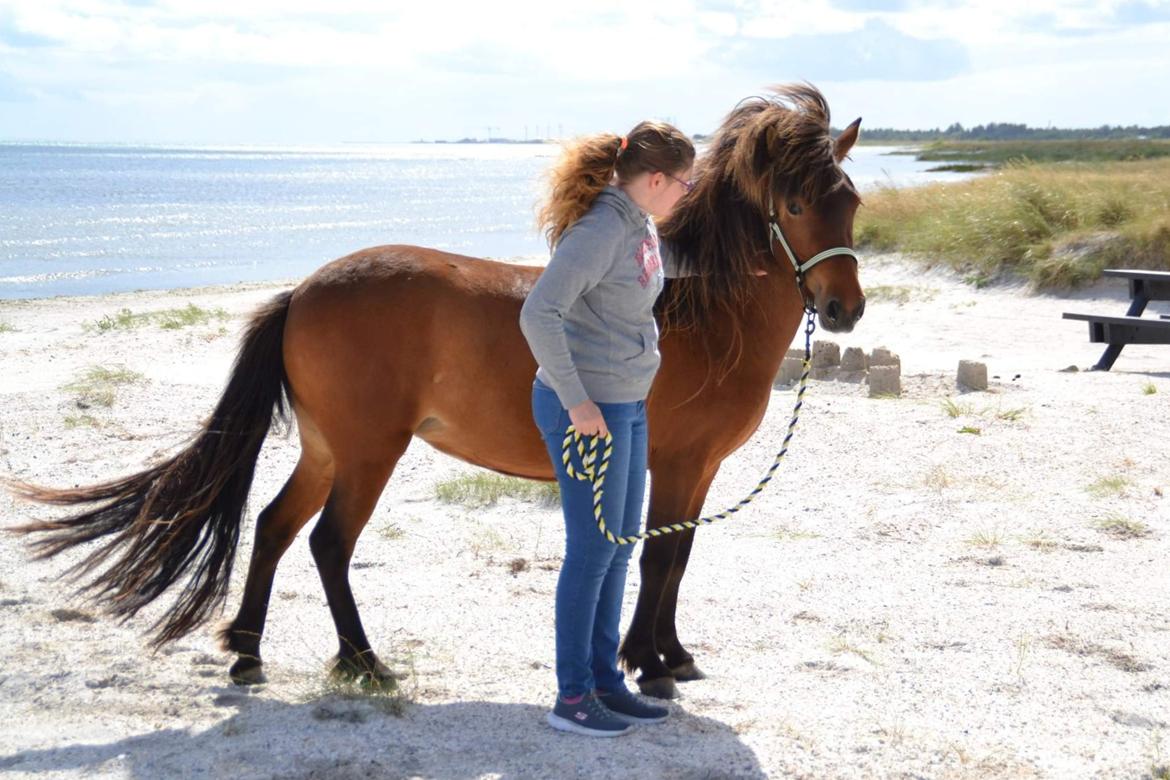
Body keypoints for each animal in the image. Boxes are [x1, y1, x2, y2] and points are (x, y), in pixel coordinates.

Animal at [13, 85, 865, 701]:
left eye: (851, 200)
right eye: (794, 205)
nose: (845, 310)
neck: (699, 313)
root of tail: (302, 291)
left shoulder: (698, 469)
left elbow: (678, 558)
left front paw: (669, 654)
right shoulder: (682, 464)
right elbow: (662, 559)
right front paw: (651, 665)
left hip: (327, 449)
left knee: (274, 527)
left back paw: (249, 655)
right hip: (368, 453)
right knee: (328, 544)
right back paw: (364, 663)